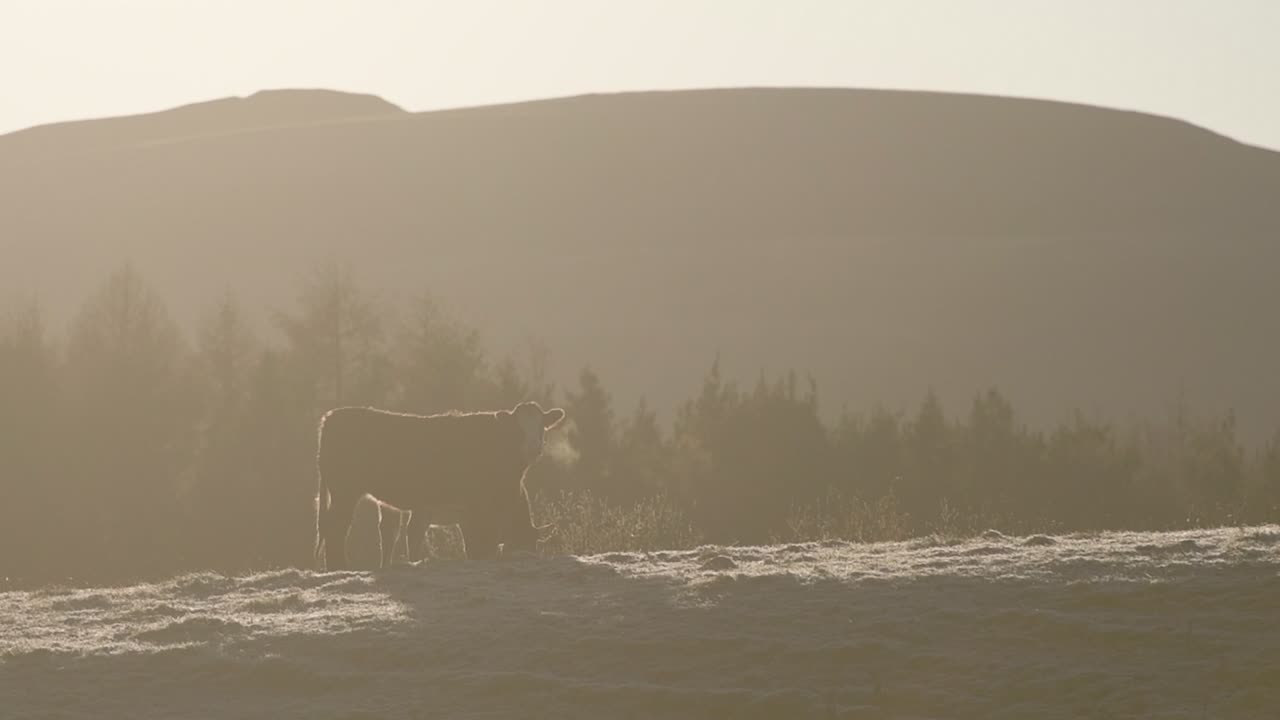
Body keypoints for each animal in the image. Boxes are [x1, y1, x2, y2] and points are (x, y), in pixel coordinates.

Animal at [313, 401, 565, 571]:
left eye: (542, 426)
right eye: (518, 428)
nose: (534, 446)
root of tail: (332, 415)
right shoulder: (475, 512)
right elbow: (479, 547)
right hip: (344, 492)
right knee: (336, 528)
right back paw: (339, 567)